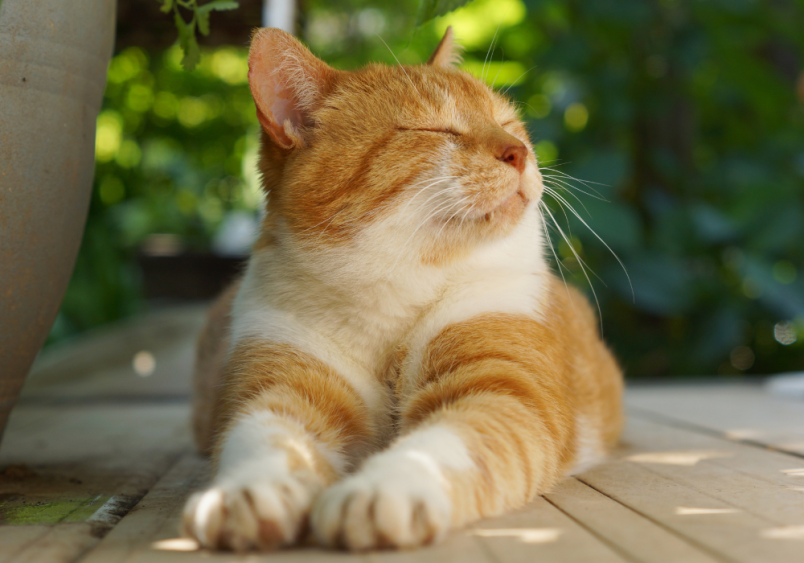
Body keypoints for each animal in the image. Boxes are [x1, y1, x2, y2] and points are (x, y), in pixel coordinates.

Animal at [181, 26, 620, 552]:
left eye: (508, 122)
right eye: (435, 130)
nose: (520, 151)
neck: (396, 303)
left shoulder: (503, 391)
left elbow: (437, 445)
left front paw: (380, 491)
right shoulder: (280, 386)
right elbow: (263, 440)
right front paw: (243, 493)